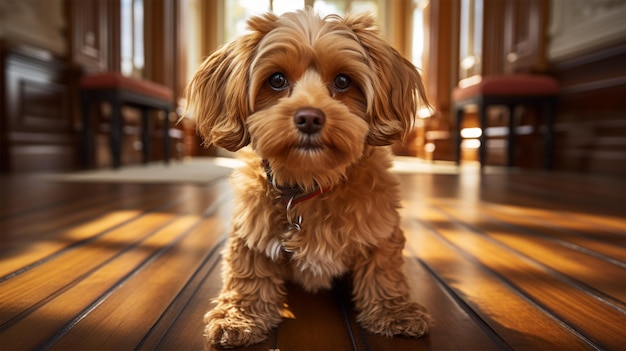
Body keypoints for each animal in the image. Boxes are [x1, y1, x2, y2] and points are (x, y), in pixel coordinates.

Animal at [184, 8, 428, 350]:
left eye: (342, 81)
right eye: (276, 80)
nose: (310, 117)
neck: (309, 181)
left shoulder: (381, 229)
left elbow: (384, 269)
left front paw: (395, 312)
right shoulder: (249, 233)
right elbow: (247, 275)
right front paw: (239, 317)